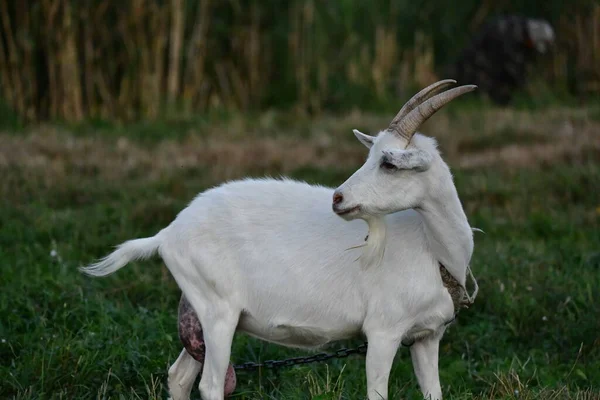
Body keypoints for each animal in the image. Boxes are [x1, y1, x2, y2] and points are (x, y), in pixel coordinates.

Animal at [82, 80, 478, 400]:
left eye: (389, 164)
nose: (338, 198)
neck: (434, 250)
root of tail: (168, 233)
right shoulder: (383, 331)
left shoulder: (427, 337)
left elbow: (434, 393)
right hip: (217, 310)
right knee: (210, 384)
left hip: (198, 313)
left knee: (179, 376)